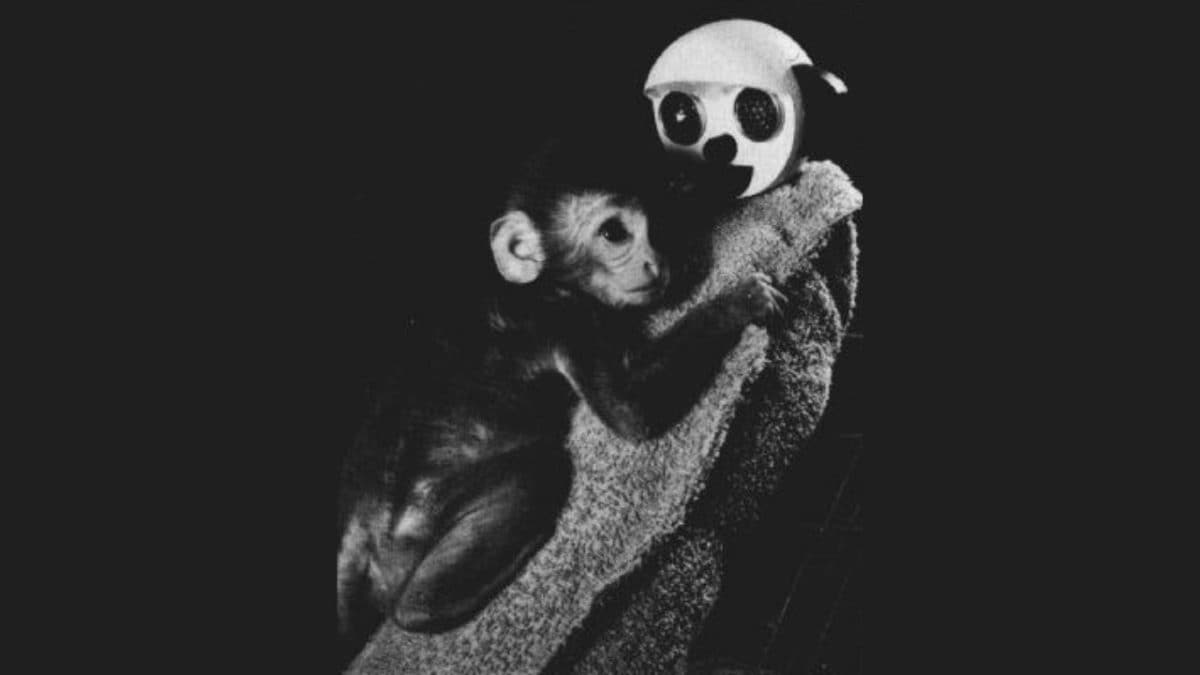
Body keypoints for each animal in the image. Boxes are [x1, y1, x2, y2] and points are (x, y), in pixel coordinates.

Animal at [334, 134, 786, 666]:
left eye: (658, 222)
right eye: (614, 233)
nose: (655, 263)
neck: (541, 280)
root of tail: (357, 530)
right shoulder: (565, 318)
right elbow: (631, 413)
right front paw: (738, 302)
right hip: (419, 521)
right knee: (539, 473)